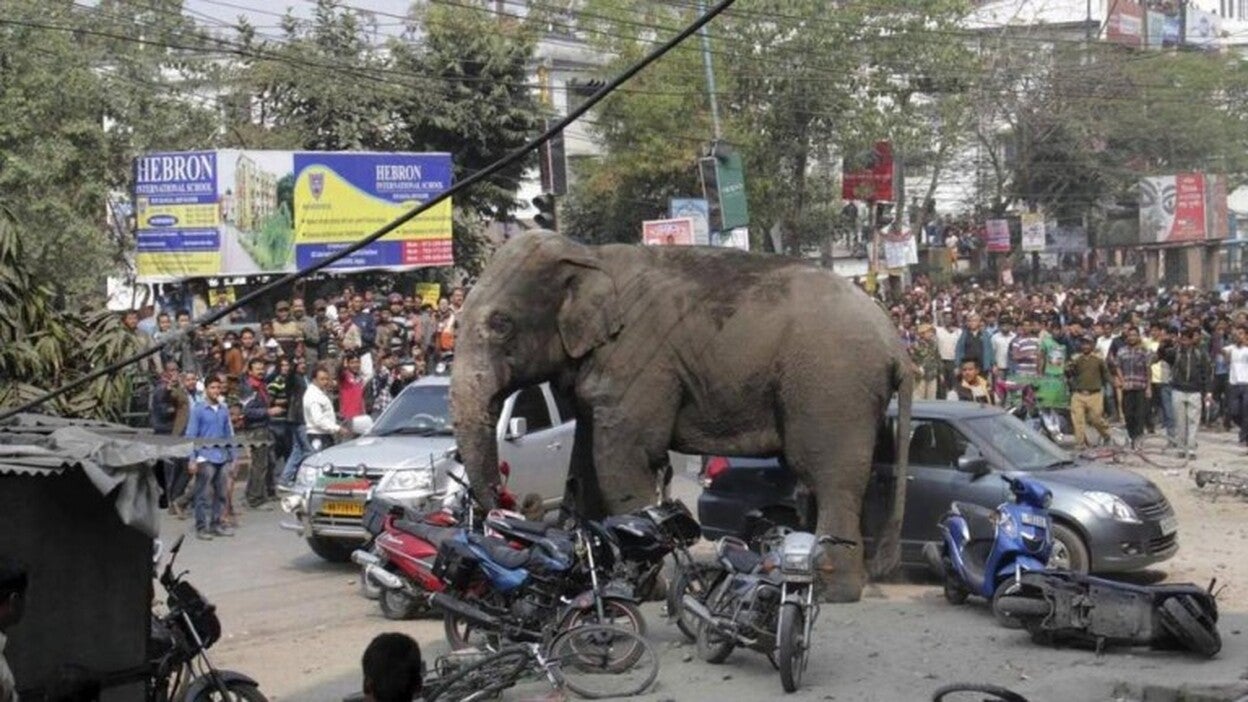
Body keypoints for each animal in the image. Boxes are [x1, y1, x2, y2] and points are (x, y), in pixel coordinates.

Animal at [450, 231, 912, 602]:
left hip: (833, 386)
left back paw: (832, 590)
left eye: (501, 324)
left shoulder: (639, 363)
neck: (587, 255)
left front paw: (641, 589)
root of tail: (896, 344)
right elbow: (585, 462)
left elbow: (624, 458)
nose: (510, 504)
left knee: (828, 475)